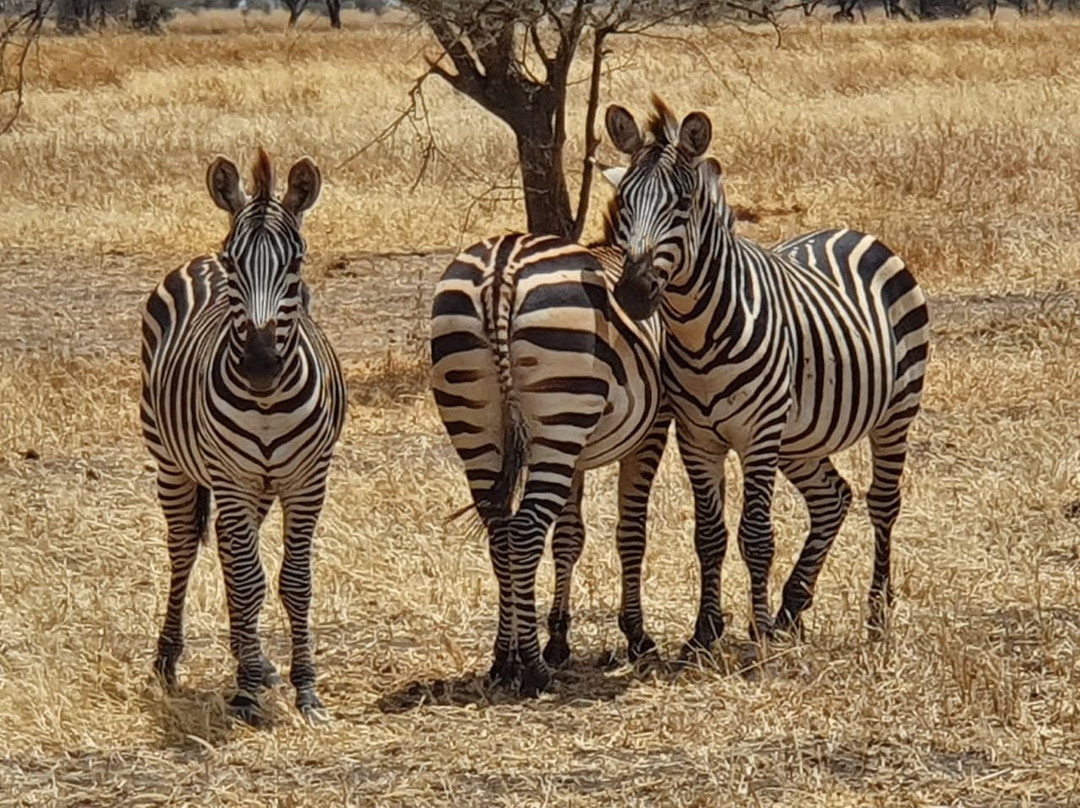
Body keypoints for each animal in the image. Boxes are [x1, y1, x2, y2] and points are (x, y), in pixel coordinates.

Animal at [141, 147, 345, 721]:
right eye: (235, 264)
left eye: (296, 264)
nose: (259, 365)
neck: (268, 402)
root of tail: (197, 261)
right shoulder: (230, 477)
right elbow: (250, 579)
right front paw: (247, 691)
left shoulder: (308, 481)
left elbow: (293, 581)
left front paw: (304, 687)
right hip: (173, 461)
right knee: (185, 548)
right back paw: (170, 660)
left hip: (256, 486)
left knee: (233, 551)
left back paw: (248, 654)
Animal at [427, 233, 665, 695]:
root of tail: (500, 270)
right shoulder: (651, 433)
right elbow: (631, 534)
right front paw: (638, 637)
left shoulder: (575, 456)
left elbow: (568, 538)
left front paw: (557, 638)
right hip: (560, 417)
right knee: (523, 532)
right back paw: (534, 671)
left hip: (481, 424)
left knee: (500, 535)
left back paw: (505, 660)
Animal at [604, 97, 933, 648]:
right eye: (623, 203)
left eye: (683, 204)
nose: (632, 292)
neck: (699, 334)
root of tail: (853, 232)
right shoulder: (697, 438)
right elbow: (709, 535)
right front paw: (704, 634)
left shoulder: (758, 435)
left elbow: (756, 536)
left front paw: (755, 637)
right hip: (801, 437)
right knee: (832, 498)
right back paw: (791, 609)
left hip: (894, 412)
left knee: (882, 503)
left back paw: (875, 616)